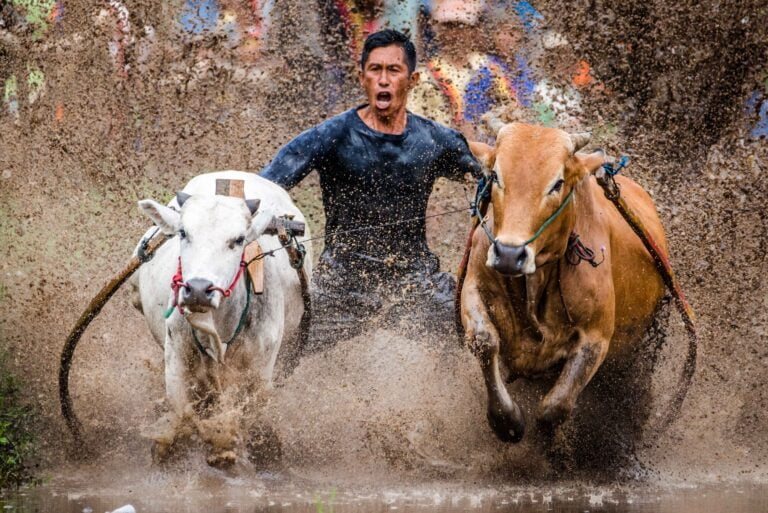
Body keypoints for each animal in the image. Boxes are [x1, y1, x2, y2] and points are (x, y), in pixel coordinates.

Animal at [130, 171, 310, 464]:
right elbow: (178, 427)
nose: (198, 290)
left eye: (238, 239)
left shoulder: (260, 373)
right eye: (183, 233)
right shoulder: (177, 361)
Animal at [462, 122, 672, 442]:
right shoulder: (473, 287)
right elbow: (485, 341)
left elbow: (555, 408)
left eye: (557, 183)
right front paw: (506, 421)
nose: (509, 254)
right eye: (496, 175)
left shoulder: (596, 338)